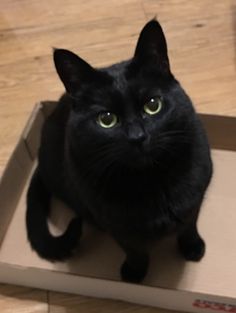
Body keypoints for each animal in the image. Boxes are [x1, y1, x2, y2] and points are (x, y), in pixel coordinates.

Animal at [26, 20, 213, 282]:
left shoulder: (195, 200)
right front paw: (134, 273)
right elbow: (134, 250)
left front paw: (193, 248)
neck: (152, 182)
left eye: (153, 105)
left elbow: (189, 226)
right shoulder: (115, 225)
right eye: (106, 119)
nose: (137, 136)